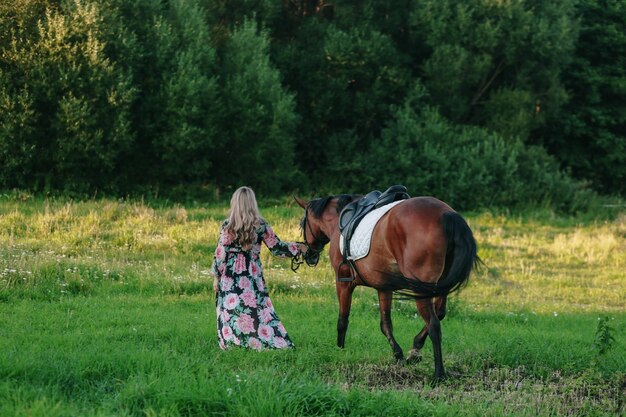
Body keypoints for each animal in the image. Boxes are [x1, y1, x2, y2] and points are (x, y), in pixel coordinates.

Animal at [292, 193, 478, 382]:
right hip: (439, 286)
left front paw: (340, 350)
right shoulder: (384, 287)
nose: (308, 254)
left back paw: (438, 374)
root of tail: (447, 214)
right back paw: (415, 350)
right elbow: (385, 324)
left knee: (434, 324)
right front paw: (398, 354)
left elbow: (342, 320)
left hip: (421, 290)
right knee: (439, 314)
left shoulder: (343, 283)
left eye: (302, 224)